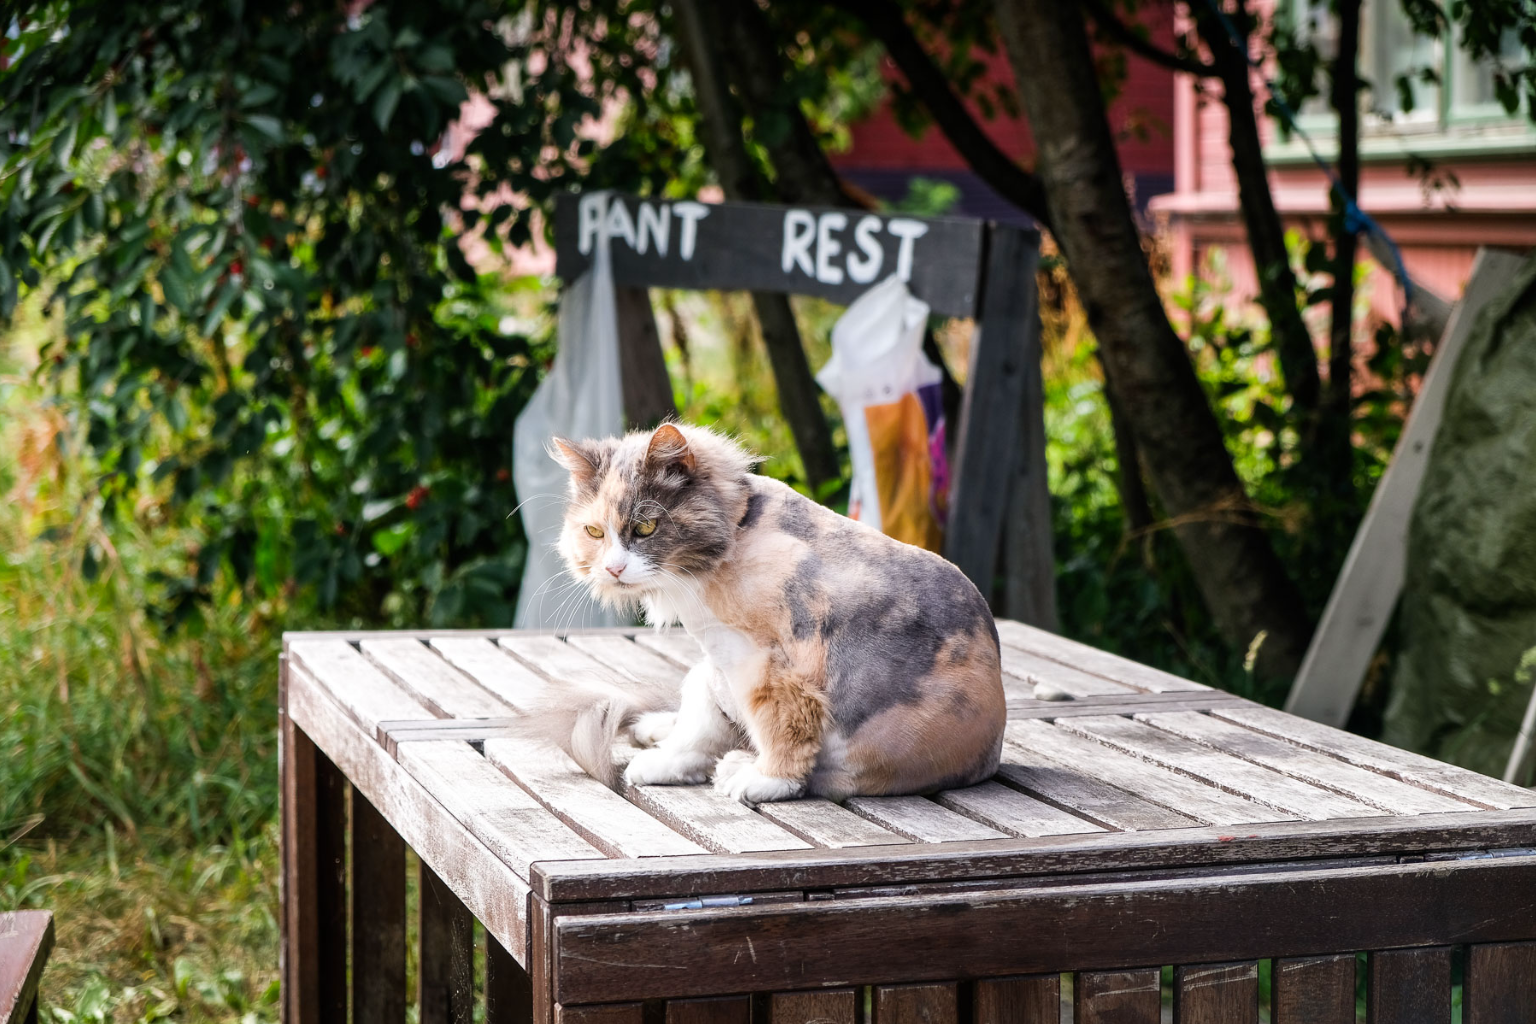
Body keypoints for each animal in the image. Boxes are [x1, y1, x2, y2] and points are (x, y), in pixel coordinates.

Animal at [546, 423, 1001, 798]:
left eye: (644, 528)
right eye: (594, 532)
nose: (614, 568)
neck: (737, 534)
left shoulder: (773, 665)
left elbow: (781, 725)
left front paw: (766, 780)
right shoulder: (719, 664)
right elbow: (698, 731)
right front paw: (664, 763)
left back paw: (737, 767)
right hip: (704, 673)